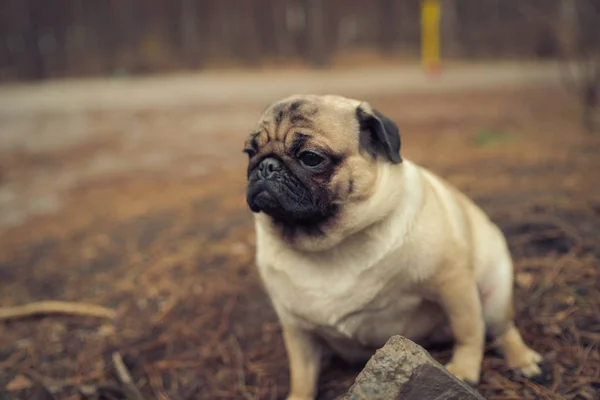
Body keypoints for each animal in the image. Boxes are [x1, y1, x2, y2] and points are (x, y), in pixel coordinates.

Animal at [241, 94, 540, 400]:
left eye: (310, 157)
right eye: (249, 153)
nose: (265, 166)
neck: (327, 244)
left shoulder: (452, 282)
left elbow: (467, 329)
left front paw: (464, 369)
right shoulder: (297, 328)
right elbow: (302, 374)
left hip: (495, 296)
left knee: (502, 329)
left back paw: (523, 361)